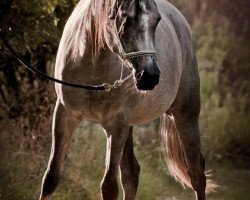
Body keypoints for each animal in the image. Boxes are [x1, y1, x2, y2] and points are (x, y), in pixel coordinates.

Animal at [38, 0, 215, 200]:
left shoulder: (117, 125)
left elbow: (109, 187)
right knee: (131, 174)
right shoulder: (64, 114)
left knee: (196, 172)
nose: (150, 76)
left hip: (185, 115)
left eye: (157, 20)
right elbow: (51, 177)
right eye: (124, 19)